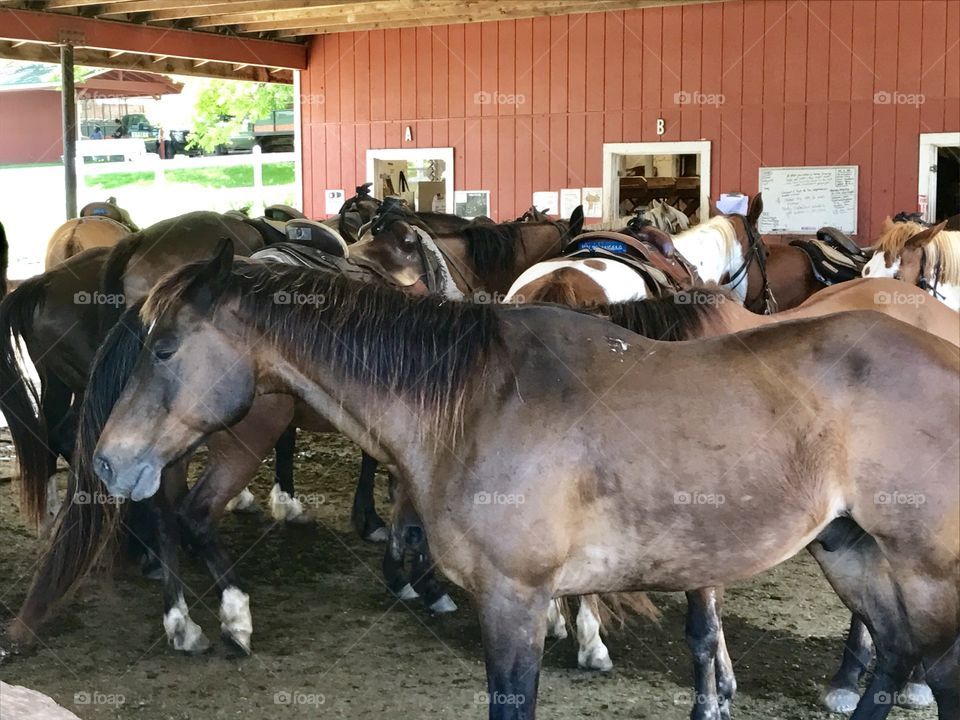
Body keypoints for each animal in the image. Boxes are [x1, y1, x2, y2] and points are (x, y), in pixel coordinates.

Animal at [92, 243, 960, 720]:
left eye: (164, 347)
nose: (106, 461)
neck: (472, 397)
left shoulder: (514, 599)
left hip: (919, 568)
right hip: (850, 552)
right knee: (892, 656)